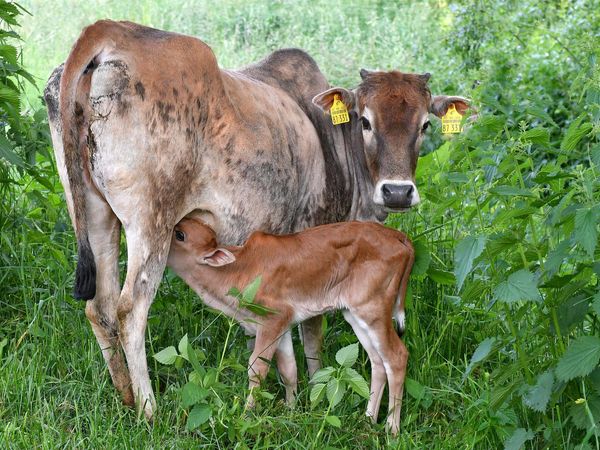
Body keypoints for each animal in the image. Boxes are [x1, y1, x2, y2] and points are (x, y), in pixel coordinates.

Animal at [166, 219, 414, 436]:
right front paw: (290, 411)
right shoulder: (283, 324)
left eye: (180, 235)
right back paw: (368, 419)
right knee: (378, 361)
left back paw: (392, 429)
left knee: (397, 356)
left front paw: (246, 416)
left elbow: (256, 368)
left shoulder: (273, 318)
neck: (238, 270)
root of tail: (400, 237)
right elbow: (288, 369)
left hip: (373, 308)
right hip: (355, 313)